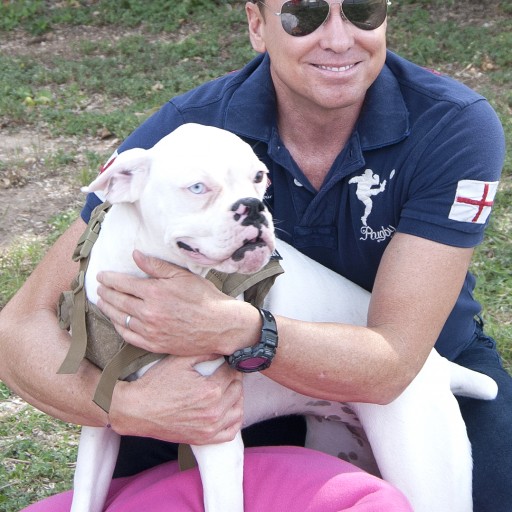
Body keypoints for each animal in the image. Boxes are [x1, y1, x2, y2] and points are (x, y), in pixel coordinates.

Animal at [63, 124, 496, 512]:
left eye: (260, 177)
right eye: (198, 188)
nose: (254, 207)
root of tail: (435, 366)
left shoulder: (217, 442)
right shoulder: (101, 430)